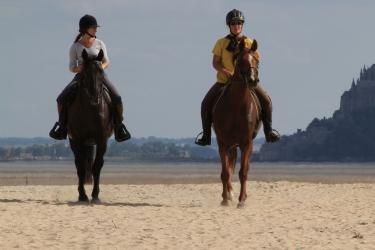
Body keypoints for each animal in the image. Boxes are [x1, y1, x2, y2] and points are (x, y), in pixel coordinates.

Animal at [67, 49, 114, 203]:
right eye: (85, 72)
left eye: (101, 71)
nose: (94, 97)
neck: (90, 109)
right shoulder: (76, 140)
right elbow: (81, 168)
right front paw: (82, 195)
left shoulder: (102, 140)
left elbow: (97, 166)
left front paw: (95, 195)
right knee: (79, 164)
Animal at [213, 38, 262, 207]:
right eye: (240, 61)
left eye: (257, 60)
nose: (253, 80)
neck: (236, 105)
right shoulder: (222, 143)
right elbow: (225, 172)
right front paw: (225, 199)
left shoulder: (246, 143)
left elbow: (243, 172)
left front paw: (241, 200)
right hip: (229, 145)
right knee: (228, 168)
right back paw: (228, 194)